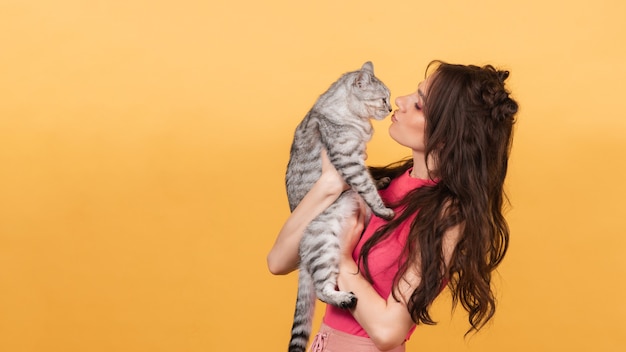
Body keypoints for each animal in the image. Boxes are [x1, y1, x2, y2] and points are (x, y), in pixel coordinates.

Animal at [284, 62, 392, 350]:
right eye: (383, 99)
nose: (391, 109)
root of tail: (302, 255)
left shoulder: (358, 158)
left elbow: (370, 178)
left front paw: (382, 181)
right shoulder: (348, 159)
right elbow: (365, 185)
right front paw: (382, 209)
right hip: (324, 245)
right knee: (322, 290)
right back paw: (343, 298)